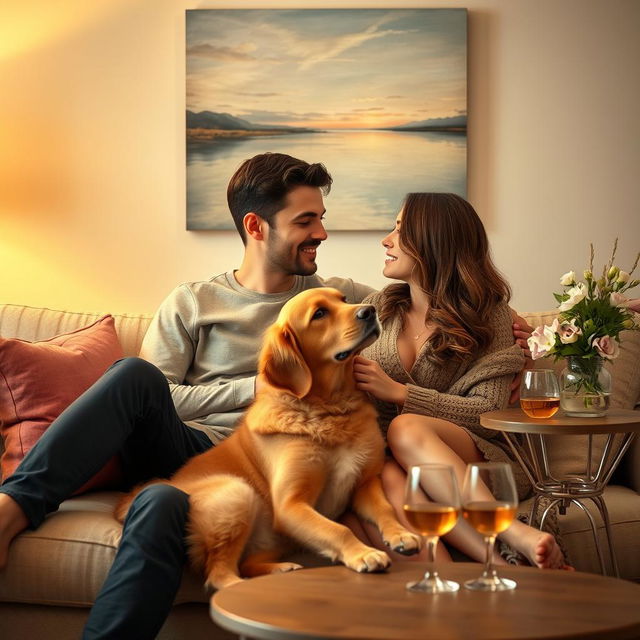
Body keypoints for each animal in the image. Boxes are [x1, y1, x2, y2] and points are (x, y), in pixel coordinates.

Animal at [115, 288, 422, 588]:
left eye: (344, 299)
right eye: (319, 314)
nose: (369, 311)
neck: (330, 408)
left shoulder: (365, 483)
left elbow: (385, 509)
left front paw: (400, 534)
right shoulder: (289, 504)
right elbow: (338, 529)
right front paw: (363, 553)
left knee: (245, 564)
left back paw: (280, 569)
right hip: (238, 492)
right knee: (220, 575)